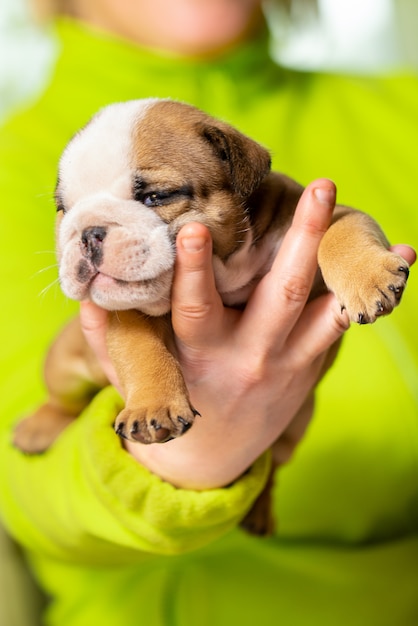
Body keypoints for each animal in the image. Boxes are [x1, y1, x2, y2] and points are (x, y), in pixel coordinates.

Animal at [13, 101, 408, 532]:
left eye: (156, 196)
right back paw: (37, 427)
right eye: (63, 209)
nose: (87, 232)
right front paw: (152, 406)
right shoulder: (128, 309)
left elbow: (341, 232)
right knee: (63, 399)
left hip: (296, 424)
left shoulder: (325, 215)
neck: (224, 272)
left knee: (270, 467)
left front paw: (368, 276)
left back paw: (259, 512)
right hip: (62, 363)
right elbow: (140, 349)